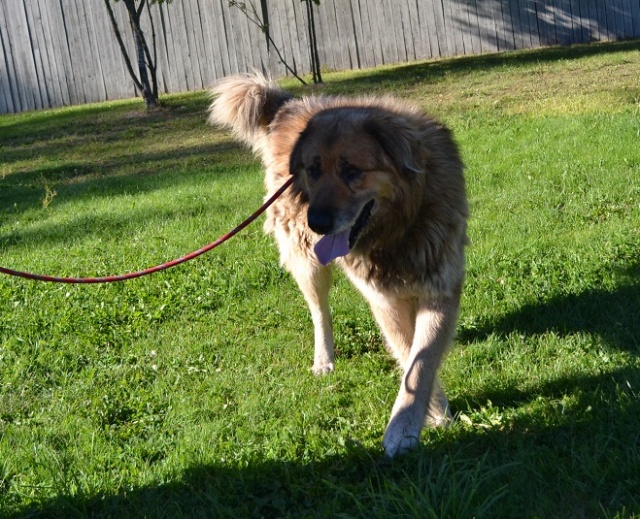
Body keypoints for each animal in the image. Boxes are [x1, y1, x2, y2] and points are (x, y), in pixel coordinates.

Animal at [209, 74, 468, 457]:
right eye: (314, 170)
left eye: (352, 170)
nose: (316, 222)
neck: (399, 228)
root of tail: (290, 107)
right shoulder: (385, 300)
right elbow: (411, 357)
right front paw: (422, 417)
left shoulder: (440, 287)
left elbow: (422, 360)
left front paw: (412, 421)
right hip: (307, 263)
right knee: (320, 314)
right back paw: (324, 358)